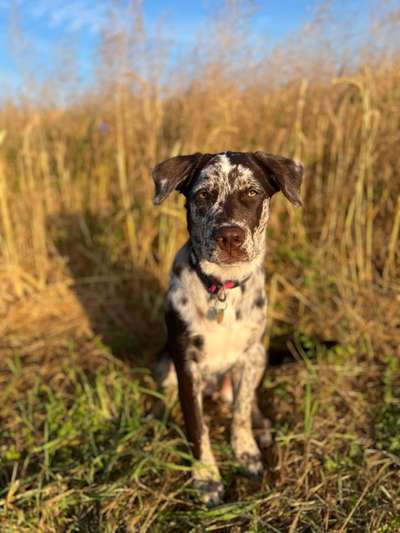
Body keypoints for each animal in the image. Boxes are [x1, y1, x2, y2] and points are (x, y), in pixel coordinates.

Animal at [152, 150, 302, 502]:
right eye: (203, 195)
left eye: (252, 193)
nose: (230, 237)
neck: (222, 287)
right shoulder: (186, 366)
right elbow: (197, 428)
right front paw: (206, 477)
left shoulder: (249, 356)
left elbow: (241, 413)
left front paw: (246, 451)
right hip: (164, 365)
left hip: (259, 356)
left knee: (246, 401)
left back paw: (260, 426)